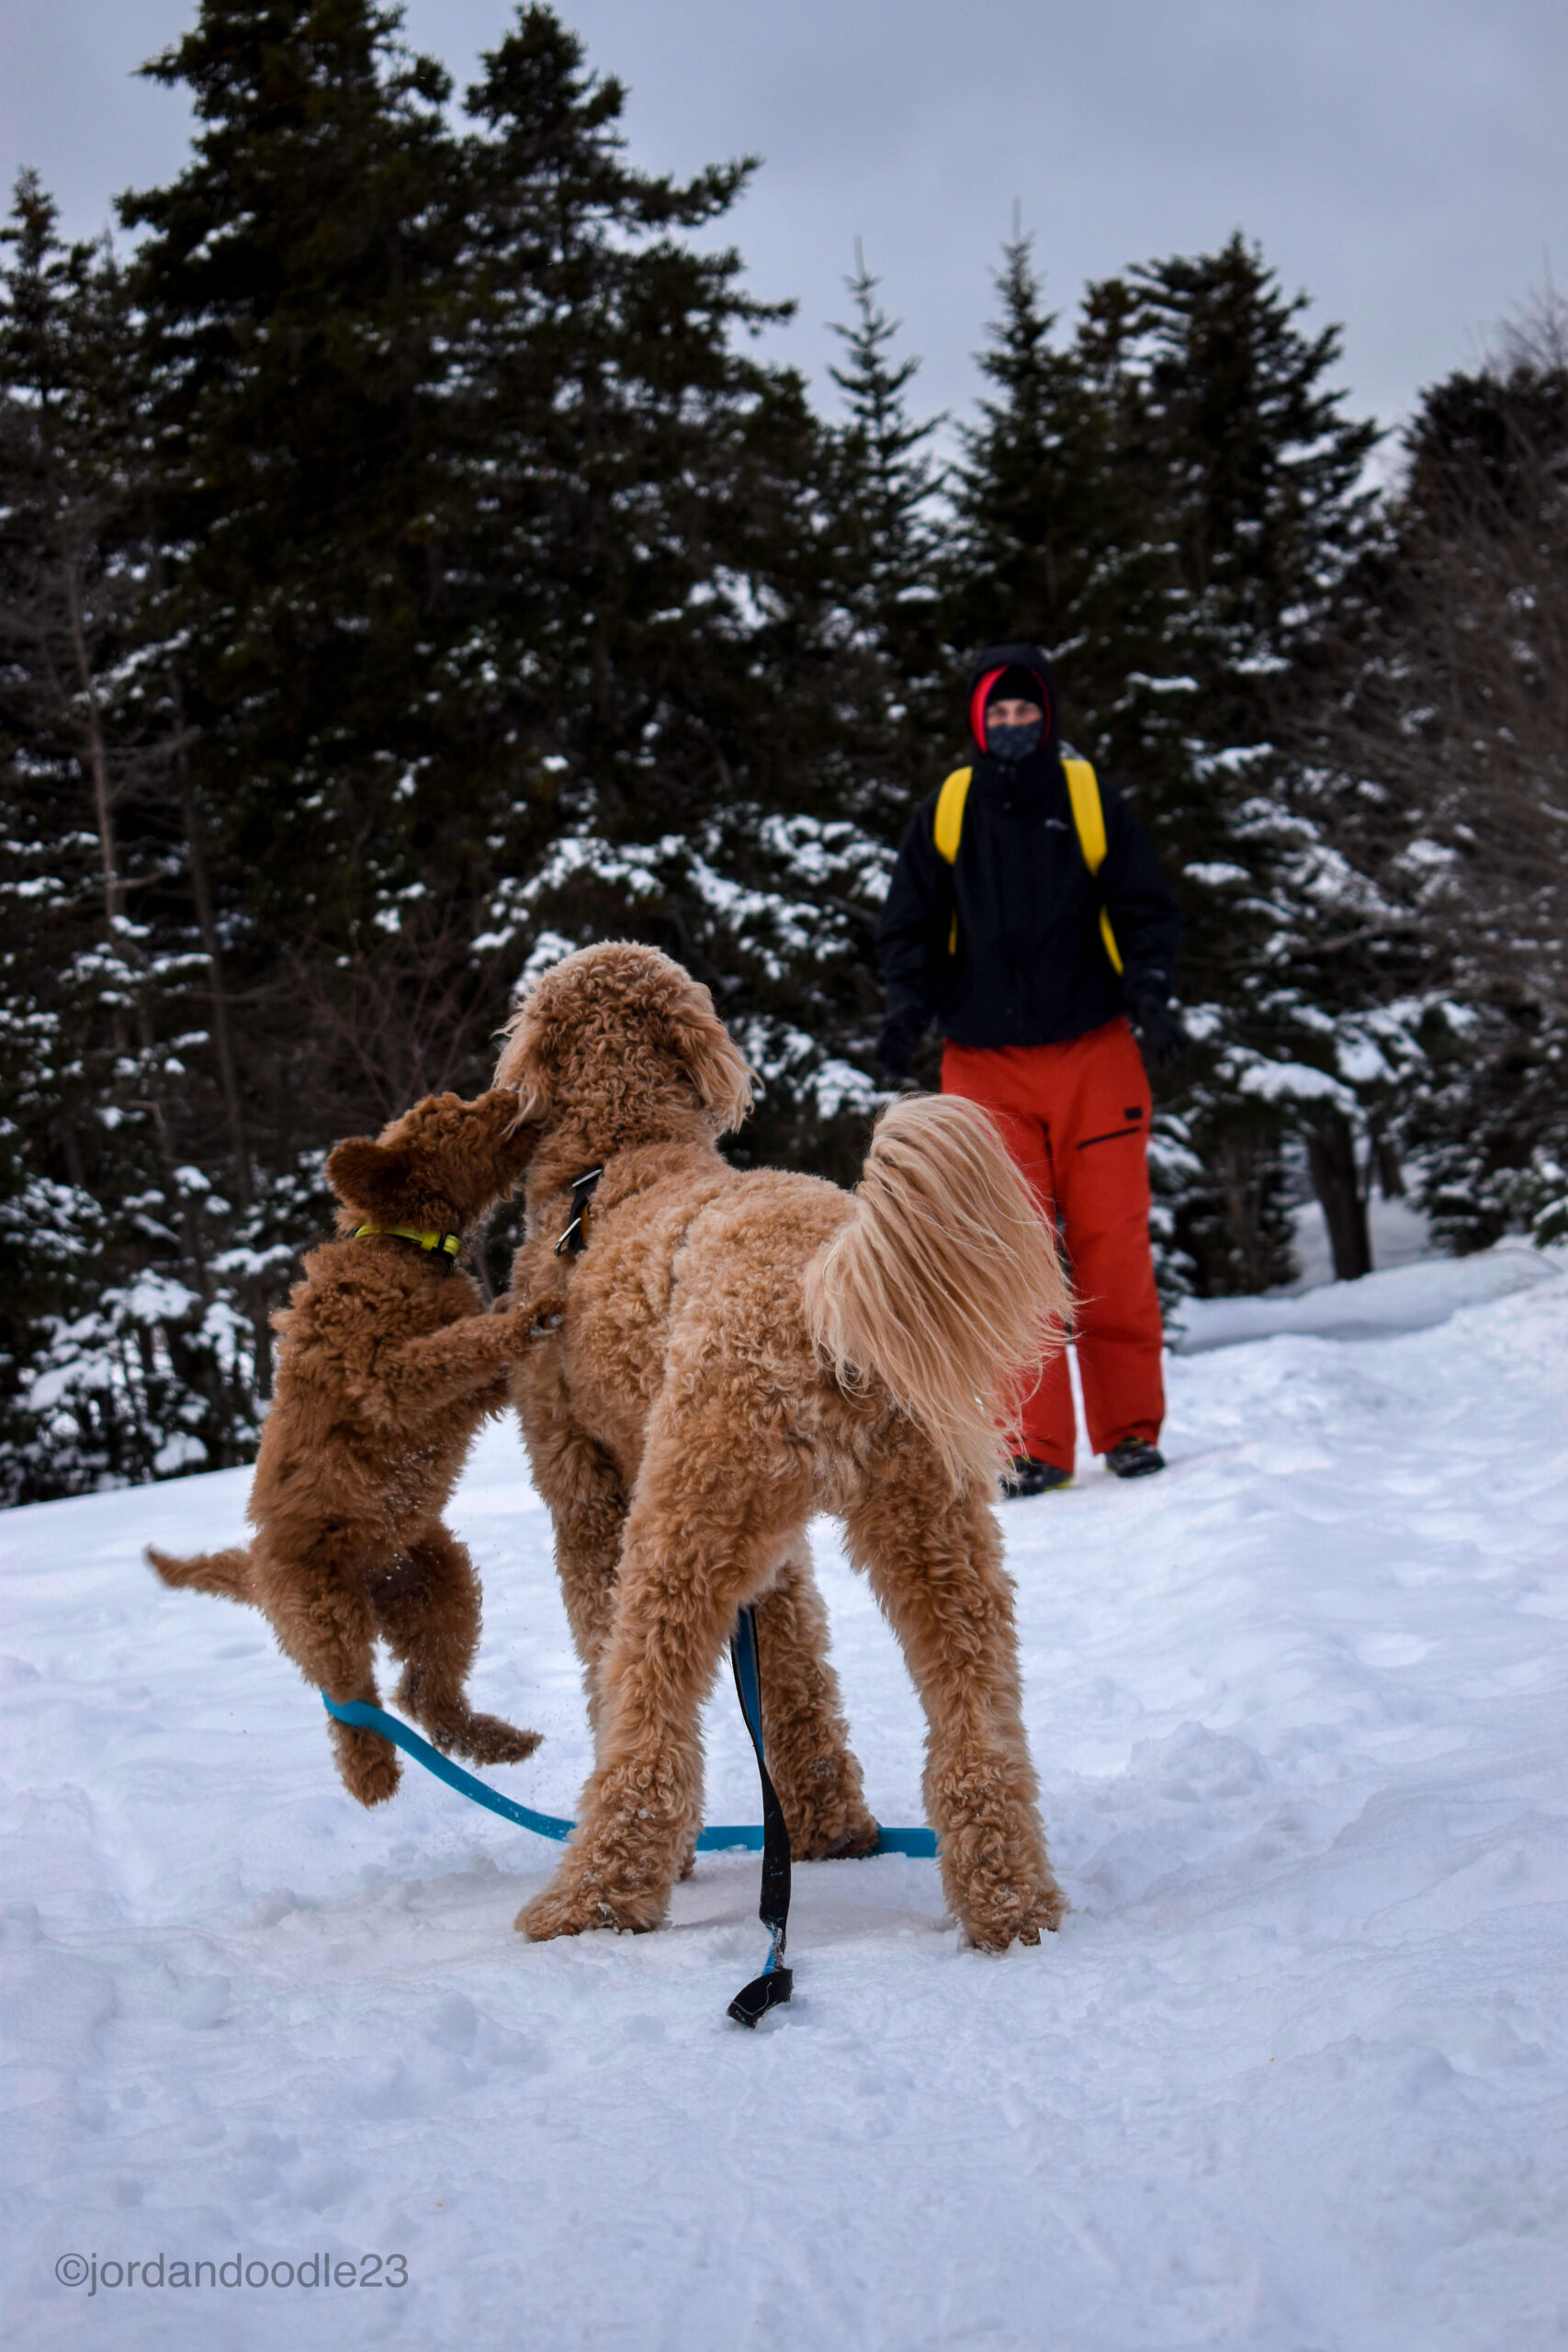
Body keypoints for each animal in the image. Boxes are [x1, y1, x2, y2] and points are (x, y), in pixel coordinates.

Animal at [146, 1091, 549, 1806]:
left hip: (439, 1582)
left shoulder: (461, 1394)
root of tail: (256, 1565)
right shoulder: (387, 1375)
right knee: (350, 1698)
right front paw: (522, 1317)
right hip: (323, 1607)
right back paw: (373, 1774)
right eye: (458, 1117)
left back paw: (497, 1743)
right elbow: (458, 1345)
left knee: (423, 1694)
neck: (406, 1247)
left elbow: (474, 1349)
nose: (506, 1095)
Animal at [495, 935, 1072, 1947]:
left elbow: (603, 1666)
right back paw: (1011, 1902)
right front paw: (830, 1825)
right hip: (930, 1528)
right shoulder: (779, 1555)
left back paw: (595, 1896)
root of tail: (820, 1288)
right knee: (979, 1719)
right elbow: (798, 1671)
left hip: (682, 1520)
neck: (620, 1156)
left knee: (648, 1722)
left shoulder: (585, 1496)